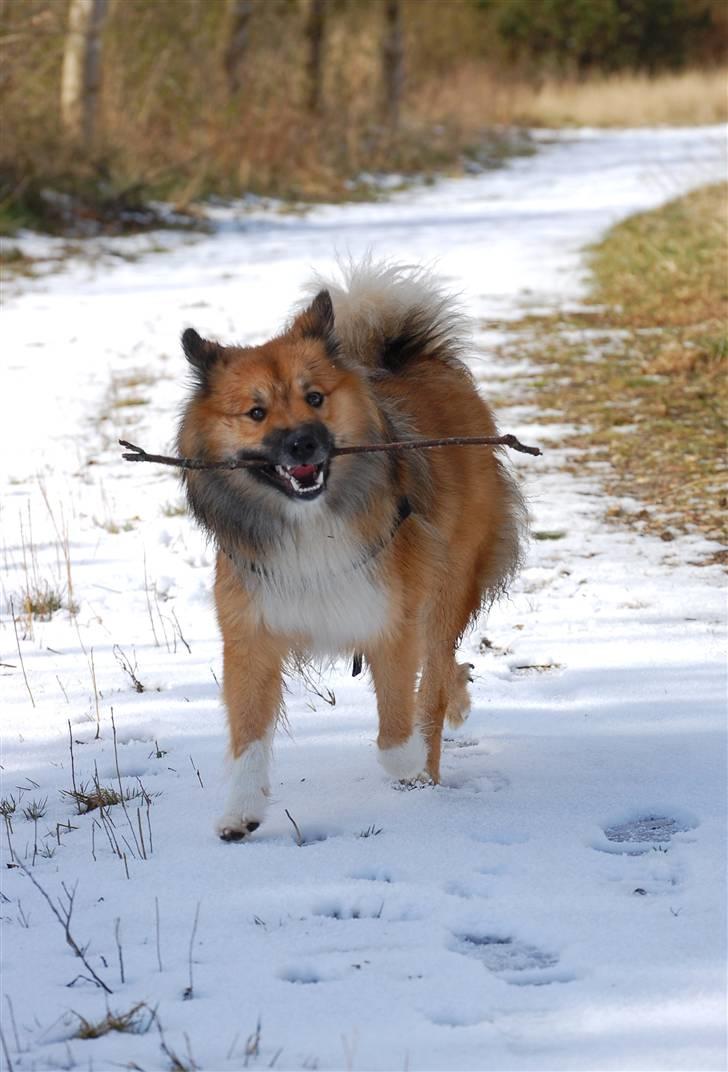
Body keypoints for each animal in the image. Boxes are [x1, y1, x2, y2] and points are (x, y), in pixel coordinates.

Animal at [179, 259, 527, 836]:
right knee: (446, 672)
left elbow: (398, 727)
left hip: (448, 584)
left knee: (435, 676)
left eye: (315, 398)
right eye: (256, 413)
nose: (303, 443)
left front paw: (408, 763)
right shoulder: (252, 634)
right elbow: (249, 738)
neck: (311, 523)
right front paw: (241, 812)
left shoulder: (392, 621)